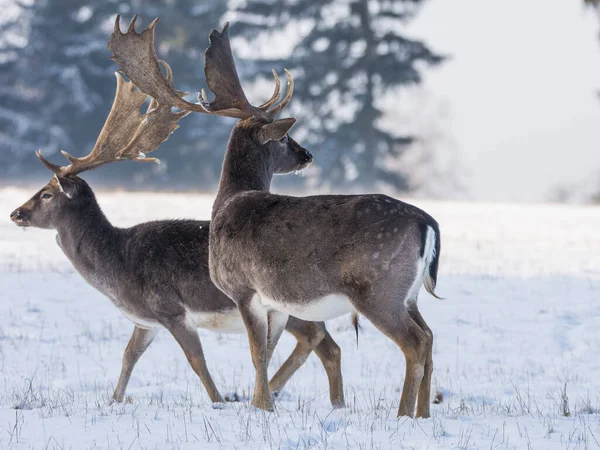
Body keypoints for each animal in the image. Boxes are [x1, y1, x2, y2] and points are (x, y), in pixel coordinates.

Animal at [9, 52, 344, 408]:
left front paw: (219, 400)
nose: (16, 213)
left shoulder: (170, 308)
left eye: (47, 193)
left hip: (290, 303)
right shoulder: (146, 321)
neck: (117, 267)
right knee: (328, 344)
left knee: (315, 337)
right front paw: (115, 400)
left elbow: (197, 361)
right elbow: (128, 356)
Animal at [106, 16, 440, 418]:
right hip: (409, 294)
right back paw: (423, 413)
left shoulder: (242, 286)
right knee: (430, 336)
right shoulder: (274, 302)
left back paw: (404, 414)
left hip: (378, 288)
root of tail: (428, 224)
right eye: (284, 138)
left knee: (415, 343)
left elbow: (256, 353)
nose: (307, 154)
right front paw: (261, 404)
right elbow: (265, 351)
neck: (227, 202)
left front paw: (262, 406)